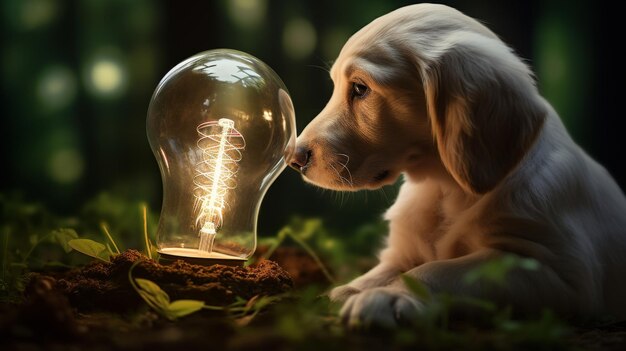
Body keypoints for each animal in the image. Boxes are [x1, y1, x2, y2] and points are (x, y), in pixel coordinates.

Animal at [290, 2, 624, 328]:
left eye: (360, 88)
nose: (295, 159)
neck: (444, 187)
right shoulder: (402, 251)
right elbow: (384, 269)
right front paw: (350, 289)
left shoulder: (555, 272)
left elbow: (440, 270)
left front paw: (389, 296)